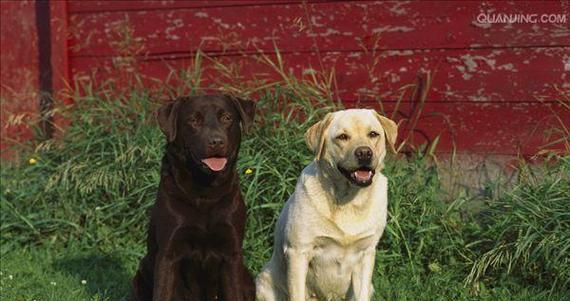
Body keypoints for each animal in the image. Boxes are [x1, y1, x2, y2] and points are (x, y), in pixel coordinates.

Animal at [256, 108, 394, 300]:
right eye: (342, 137)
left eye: (373, 134)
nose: (365, 153)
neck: (347, 199)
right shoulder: (298, 252)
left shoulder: (366, 254)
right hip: (264, 281)